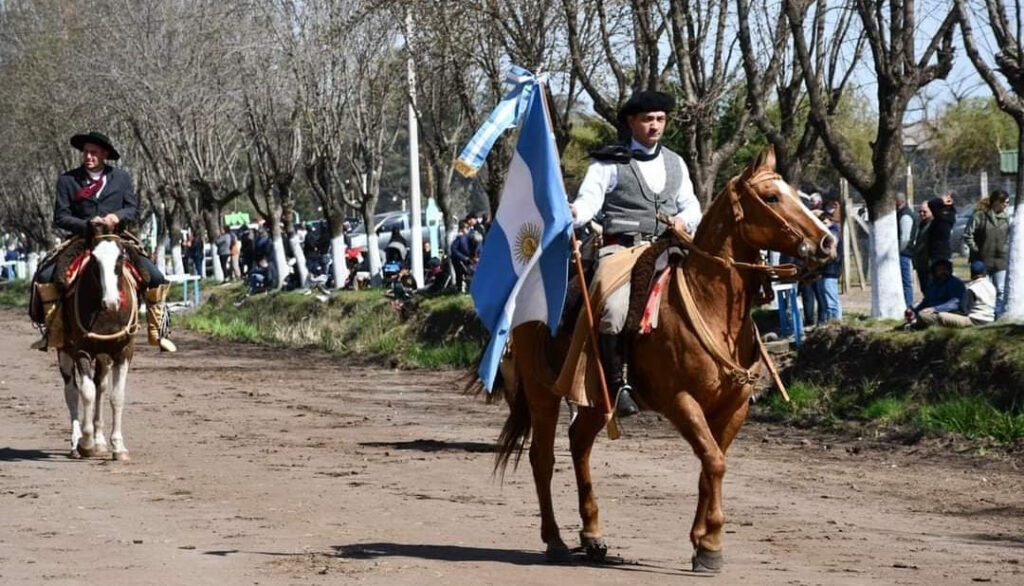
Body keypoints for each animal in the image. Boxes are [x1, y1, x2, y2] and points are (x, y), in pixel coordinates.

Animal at [57, 228, 138, 463]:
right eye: (93, 259)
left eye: (120, 258)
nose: (111, 302)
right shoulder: (81, 350)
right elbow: (86, 392)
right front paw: (86, 443)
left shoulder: (123, 351)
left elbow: (116, 396)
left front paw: (118, 447)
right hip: (64, 352)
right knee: (72, 391)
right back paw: (76, 444)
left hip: (103, 356)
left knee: (101, 386)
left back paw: (101, 441)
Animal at [491, 147, 835, 573]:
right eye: (772, 197)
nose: (827, 243)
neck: (709, 305)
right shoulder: (680, 401)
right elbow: (714, 461)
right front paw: (711, 545)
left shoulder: (733, 407)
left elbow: (711, 463)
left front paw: (701, 540)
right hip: (543, 391)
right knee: (542, 456)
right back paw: (554, 540)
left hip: (593, 396)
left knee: (579, 443)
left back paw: (592, 535)